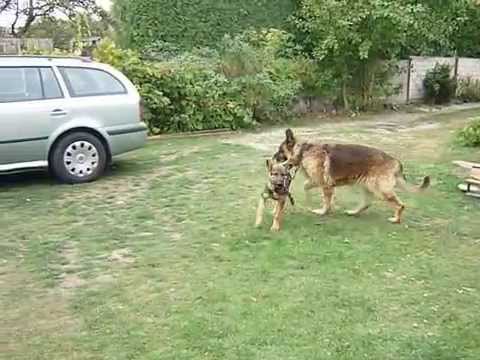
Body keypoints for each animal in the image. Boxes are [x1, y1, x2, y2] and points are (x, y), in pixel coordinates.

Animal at [274, 128, 432, 224]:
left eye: (280, 151)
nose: (273, 158)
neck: (304, 151)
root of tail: (395, 161)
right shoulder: (319, 182)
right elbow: (306, 186)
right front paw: (310, 201)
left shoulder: (324, 184)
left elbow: (324, 200)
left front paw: (322, 211)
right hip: (367, 186)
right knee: (367, 203)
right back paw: (353, 212)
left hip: (380, 189)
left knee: (400, 205)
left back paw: (396, 219)